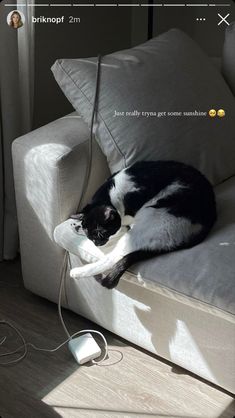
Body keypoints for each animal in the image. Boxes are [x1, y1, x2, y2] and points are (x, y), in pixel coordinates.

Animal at [70, 158, 217, 290]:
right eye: (90, 236)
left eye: (101, 234)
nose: (96, 244)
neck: (111, 193)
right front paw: (77, 225)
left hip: (148, 221)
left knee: (114, 256)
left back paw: (77, 272)